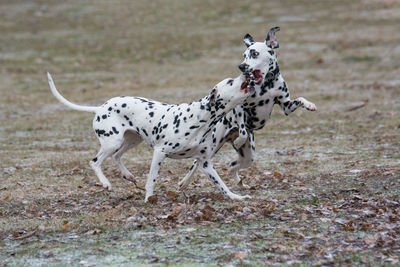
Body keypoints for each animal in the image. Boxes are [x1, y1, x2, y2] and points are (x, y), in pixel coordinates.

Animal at [45, 72, 255, 202]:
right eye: (230, 81)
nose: (247, 73)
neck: (200, 118)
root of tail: (100, 108)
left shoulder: (205, 163)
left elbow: (222, 185)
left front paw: (235, 197)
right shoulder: (160, 153)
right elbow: (151, 180)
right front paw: (148, 199)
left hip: (131, 141)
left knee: (116, 157)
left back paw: (127, 175)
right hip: (112, 142)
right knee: (94, 162)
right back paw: (106, 183)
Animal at [180, 26, 318, 191]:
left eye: (255, 53)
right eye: (244, 55)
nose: (241, 66)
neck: (267, 84)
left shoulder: (287, 106)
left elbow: (300, 99)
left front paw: (309, 104)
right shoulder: (241, 106)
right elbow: (243, 130)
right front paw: (240, 139)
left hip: (248, 157)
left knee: (231, 166)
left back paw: (240, 182)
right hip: (213, 146)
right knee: (196, 163)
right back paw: (185, 181)